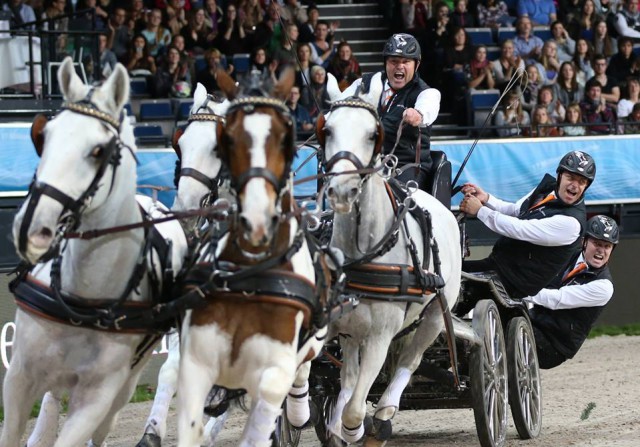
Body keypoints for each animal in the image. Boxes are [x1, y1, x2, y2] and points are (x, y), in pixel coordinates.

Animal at [1, 57, 188, 446]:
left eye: (98, 150)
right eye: (45, 138)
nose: (30, 227)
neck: (82, 298)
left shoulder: (97, 396)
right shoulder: (19, 377)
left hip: (125, 383)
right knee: (50, 403)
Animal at [318, 73, 460, 444]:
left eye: (373, 133)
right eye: (327, 129)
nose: (342, 190)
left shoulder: (380, 336)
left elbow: (356, 410)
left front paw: (358, 429)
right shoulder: (330, 325)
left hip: (434, 318)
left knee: (409, 361)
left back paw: (383, 415)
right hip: (353, 333)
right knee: (349, 376)